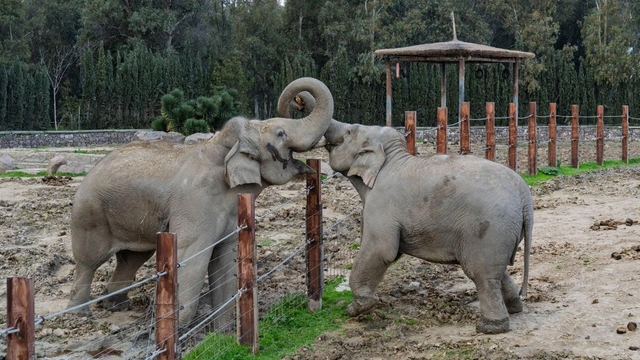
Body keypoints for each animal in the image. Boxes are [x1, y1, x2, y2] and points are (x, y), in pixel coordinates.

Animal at [69, 77, 336, 328]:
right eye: (281, 133)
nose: (298, 101)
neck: (219, 148)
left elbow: (225, 264)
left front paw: (222, 332)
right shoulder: (195, 208)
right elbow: (190, 265)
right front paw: (177, 332)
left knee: (131, 258)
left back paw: (117, 305)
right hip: (90, 215)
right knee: (88, 261)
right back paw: (81, 314)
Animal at [278, 91, 532, 334]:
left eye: (349, 132)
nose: (298, 102)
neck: (392, 159)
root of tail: (525, 198)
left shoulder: (381, 204)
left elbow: (382, 250)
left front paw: (357, 309)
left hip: (489, 229)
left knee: (483, 275)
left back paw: (489, 327)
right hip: (500, 233)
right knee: (498, 272)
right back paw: (515, 308)